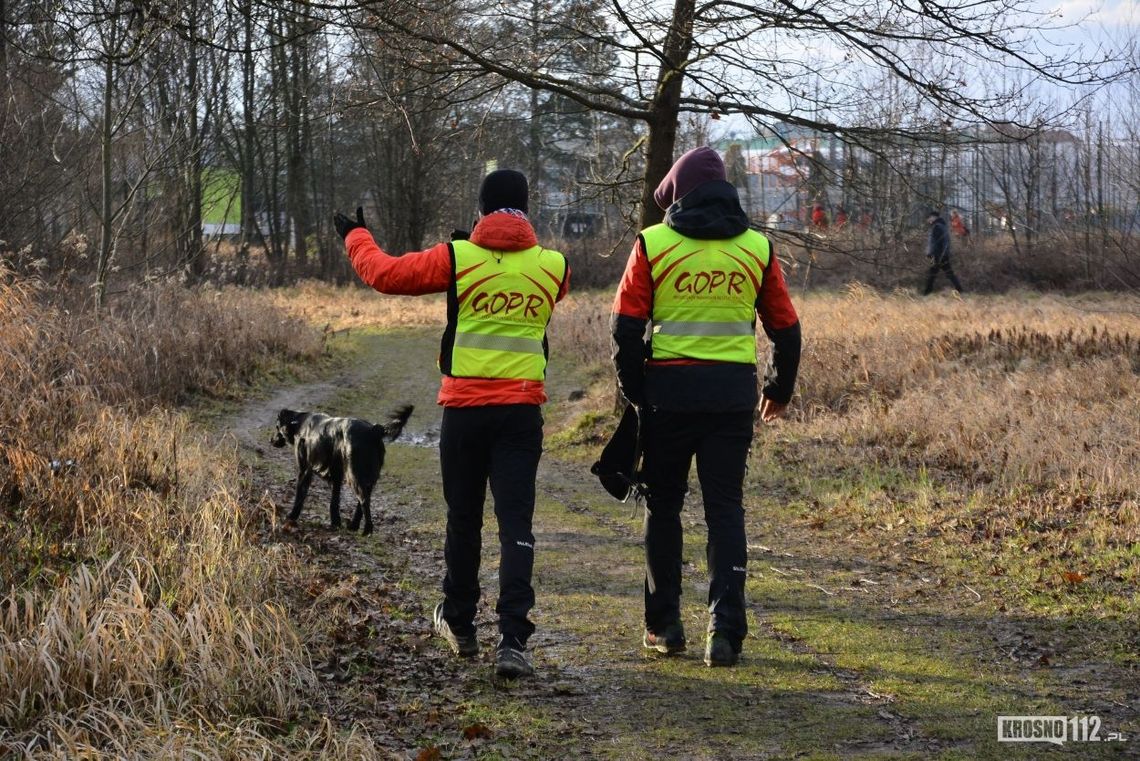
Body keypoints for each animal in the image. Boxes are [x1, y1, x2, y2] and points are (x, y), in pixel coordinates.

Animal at [271, 403, 414, 535]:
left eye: (276, 426)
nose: (271, 440)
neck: (299, 423)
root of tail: (374, 430)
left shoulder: (305, 469)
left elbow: (300, 494)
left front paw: (291, 516)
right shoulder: (336, 475)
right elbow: (335, 501)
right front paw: (335, 522)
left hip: (354, 473)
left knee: (364, 500)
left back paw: (367, 529)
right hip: (369, 476)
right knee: (363, 500)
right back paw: (354, 526)